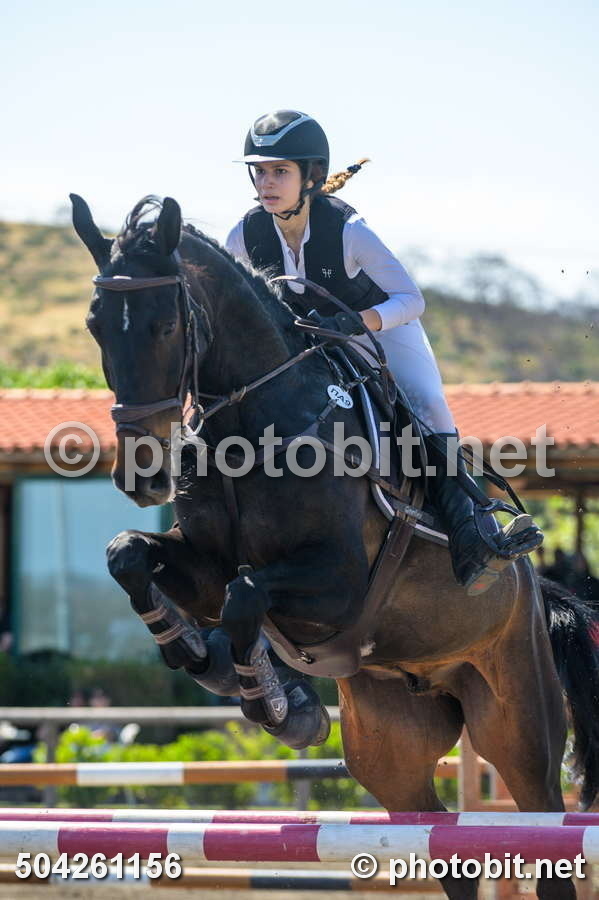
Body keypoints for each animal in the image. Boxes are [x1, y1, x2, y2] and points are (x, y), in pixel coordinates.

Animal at [71, 192, 599, 900]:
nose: (143, 475)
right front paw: (201, 656)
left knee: (542, 830)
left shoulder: (340, 583)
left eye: (163, 326)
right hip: (390, 746)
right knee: (439, 840)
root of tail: (537, 594)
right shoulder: (204, 566)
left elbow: (245, 595)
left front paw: (269, 700)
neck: (252, 422)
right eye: (96, 325)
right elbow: (130, 556)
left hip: (518, 724)